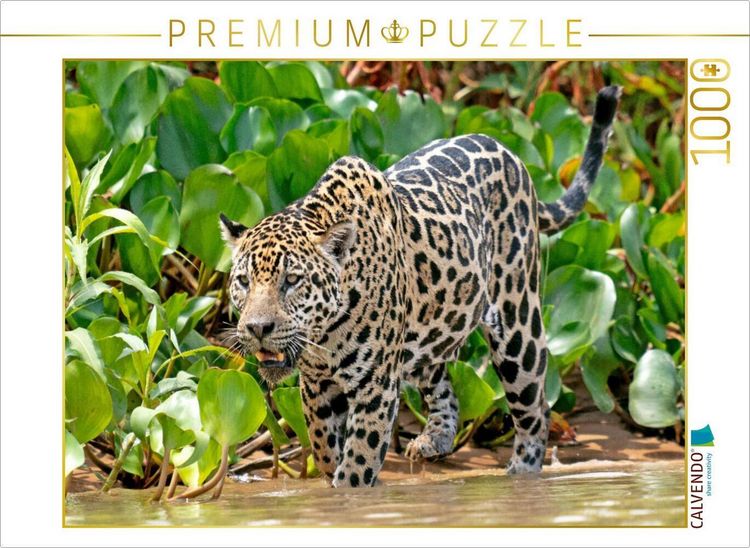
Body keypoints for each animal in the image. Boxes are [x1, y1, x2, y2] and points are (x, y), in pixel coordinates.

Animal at [219, 86, 621, 487]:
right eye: (244, 281)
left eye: (292, 280)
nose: (257, 328)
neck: (327, 331)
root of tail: (505, 148)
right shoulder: (317, 384)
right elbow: (323, 447)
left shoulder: (376, 386)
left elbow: (357, 463)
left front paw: (350, 488)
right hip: (427, 334)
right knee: (445, 385)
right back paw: (435, 440)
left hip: (518, 328)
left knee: (535, 410)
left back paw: (521, 472)